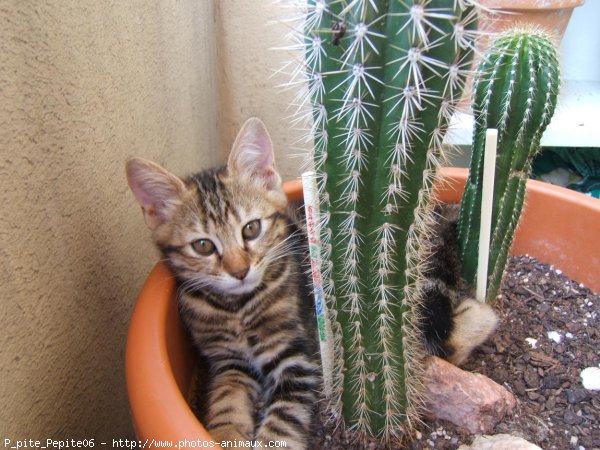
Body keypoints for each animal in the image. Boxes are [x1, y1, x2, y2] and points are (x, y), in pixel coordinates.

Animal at [127, 118, 318, 448]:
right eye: (203, 246)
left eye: (251, 229)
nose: (239, 271)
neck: (237, 308)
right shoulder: (228, 361)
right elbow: (227, 399)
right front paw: (226, 433)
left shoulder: (295, 359)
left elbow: (283, 421)